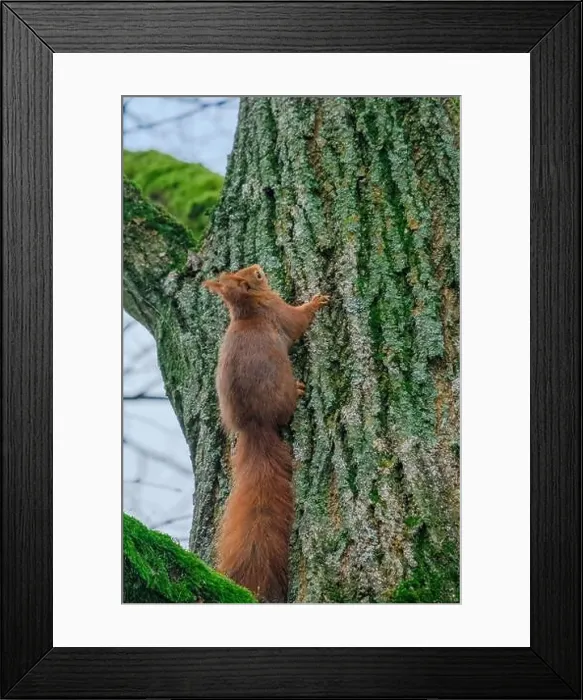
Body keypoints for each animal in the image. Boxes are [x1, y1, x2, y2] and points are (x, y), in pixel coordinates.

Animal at [202, 263, 328, 602]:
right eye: (255, 277)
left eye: (245, 271)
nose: (259, 267)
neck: (248, 310)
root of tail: (255, 428)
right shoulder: (279, 312)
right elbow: (298, 321)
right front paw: (317, 302)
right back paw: (298, 391)